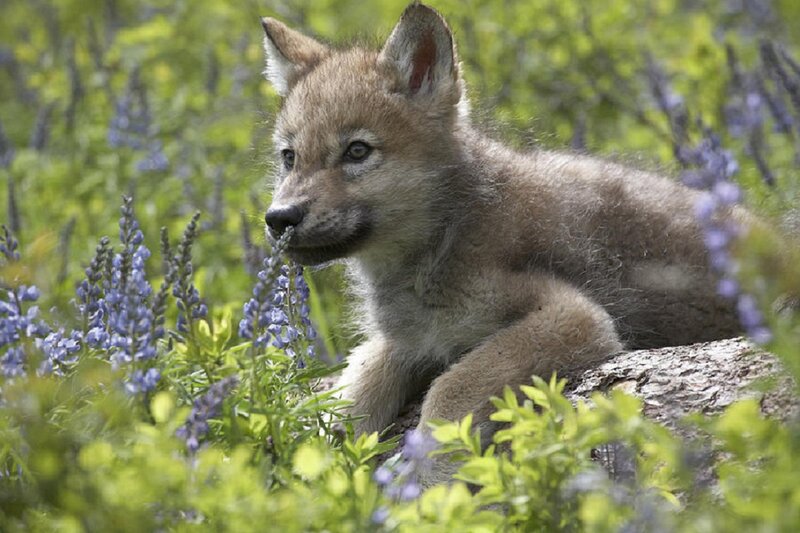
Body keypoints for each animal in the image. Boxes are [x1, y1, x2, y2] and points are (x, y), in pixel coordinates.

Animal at [260, 2, 747, 483]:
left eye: (358, 151)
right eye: (289, 158)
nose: (278, 219)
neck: (441, 243)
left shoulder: (574, 317)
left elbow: (452, 387)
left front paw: (434, 482)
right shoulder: (407, 342)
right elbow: (351, 393)